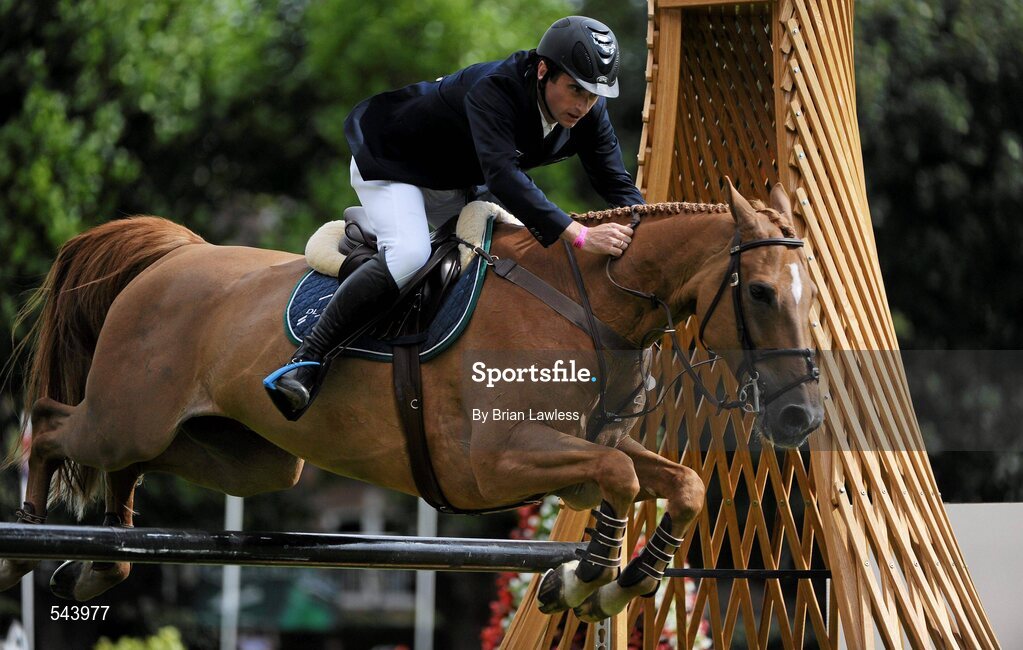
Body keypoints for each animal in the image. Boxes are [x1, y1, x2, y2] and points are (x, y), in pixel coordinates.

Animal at [0, 181, 822, 622]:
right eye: (758, 293)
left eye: (806, 295)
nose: (801, 418)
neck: (586, 304)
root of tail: (172, 257)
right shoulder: (490, 464)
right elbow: (620, 479)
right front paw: (586, 576)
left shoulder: (588, 448)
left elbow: (681, 483)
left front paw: (617, 581)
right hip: (126, 416)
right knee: (52, 428)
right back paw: (28, 539)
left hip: (237, 456)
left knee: (128, 471)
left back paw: (99, 564)